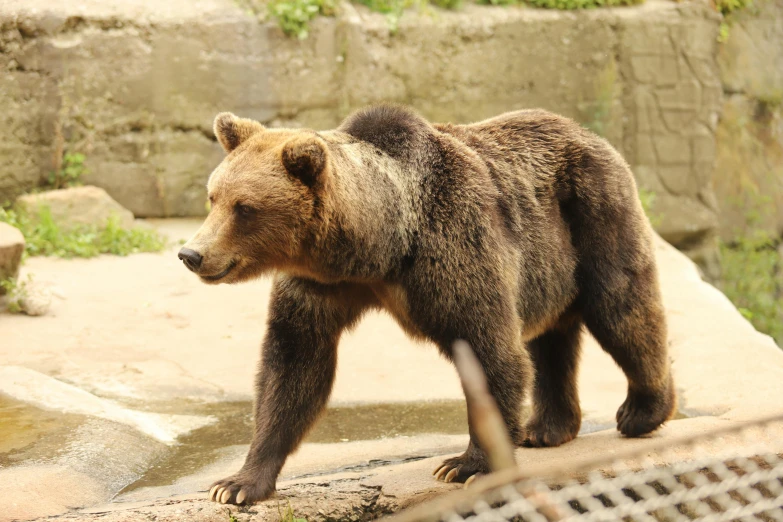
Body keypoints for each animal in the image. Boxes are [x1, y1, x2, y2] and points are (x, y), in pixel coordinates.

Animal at [178, 102, 672, 504]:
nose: (191, 254)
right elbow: (293, 366)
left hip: (592, 214)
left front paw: (465, 465)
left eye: (244, 207)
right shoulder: (319, 286)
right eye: (213, 197)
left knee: (622, 308)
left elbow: (490, 353)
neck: (378, 248)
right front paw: (238, 484)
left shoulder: (457, 249)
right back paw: (546, 427)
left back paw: (643, 410)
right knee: (550, 339)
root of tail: (588, 133)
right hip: (546, 267)